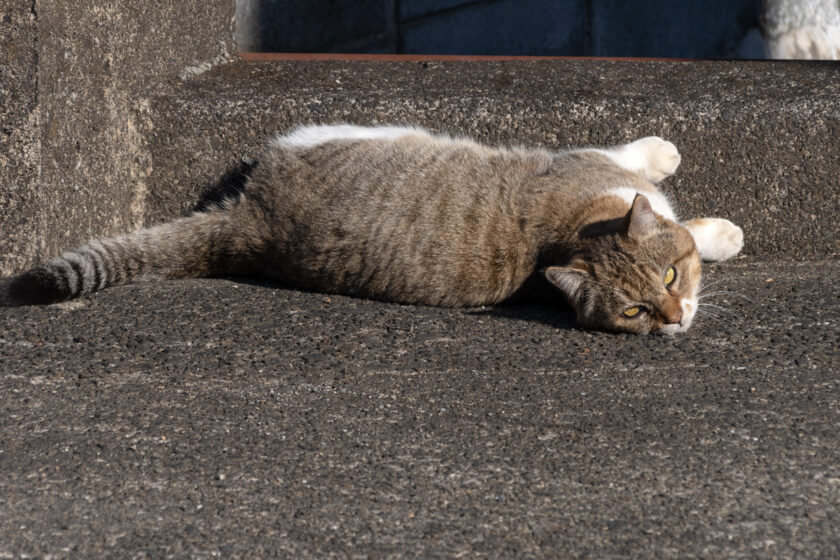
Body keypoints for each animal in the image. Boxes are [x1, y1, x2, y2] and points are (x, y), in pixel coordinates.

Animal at [1, 123, 740, 334]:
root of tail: (246, 230)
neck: (580, 223)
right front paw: (706, 209)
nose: (675, 318)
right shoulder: (590, 161)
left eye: (668, 279)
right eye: (637, 309)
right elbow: (642, 163)